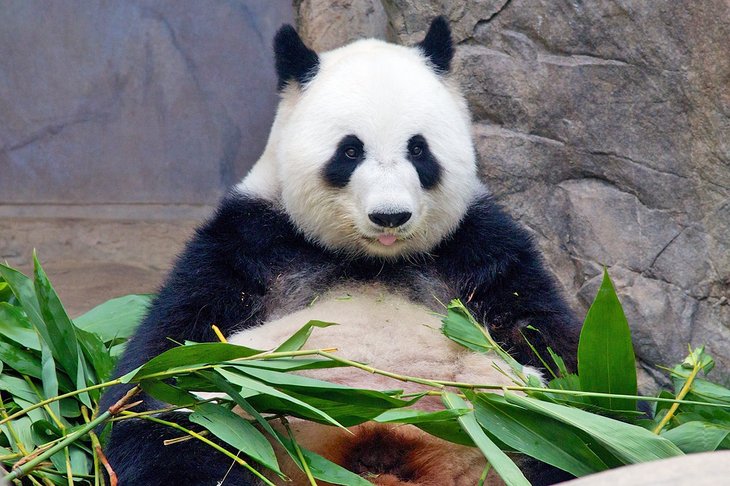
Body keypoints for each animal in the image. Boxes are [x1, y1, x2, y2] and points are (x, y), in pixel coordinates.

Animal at [99, 17, 580, 486]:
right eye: (350, 151)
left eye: (418, 149)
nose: (390, 216)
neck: (371, 260)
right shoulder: (250, 243)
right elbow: (166, 356)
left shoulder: (476, 248)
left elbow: (545, 337)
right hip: (233, 417)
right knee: (182, 442)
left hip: (516, 435)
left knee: (559, 442)